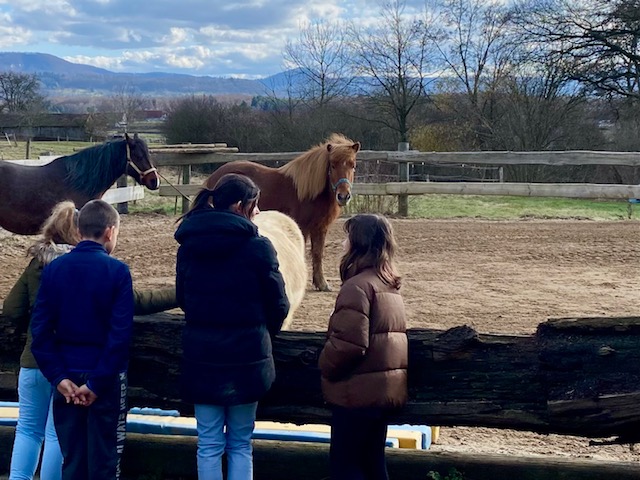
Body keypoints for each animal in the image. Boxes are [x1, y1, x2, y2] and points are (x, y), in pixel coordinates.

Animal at [204, 133, 360, 291]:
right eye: (332, 165)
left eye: (353, 165)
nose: (343, 196)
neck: (309, 192)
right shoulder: (302, 227)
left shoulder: (320, 227)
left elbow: (317, 254)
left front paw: (322, 284)